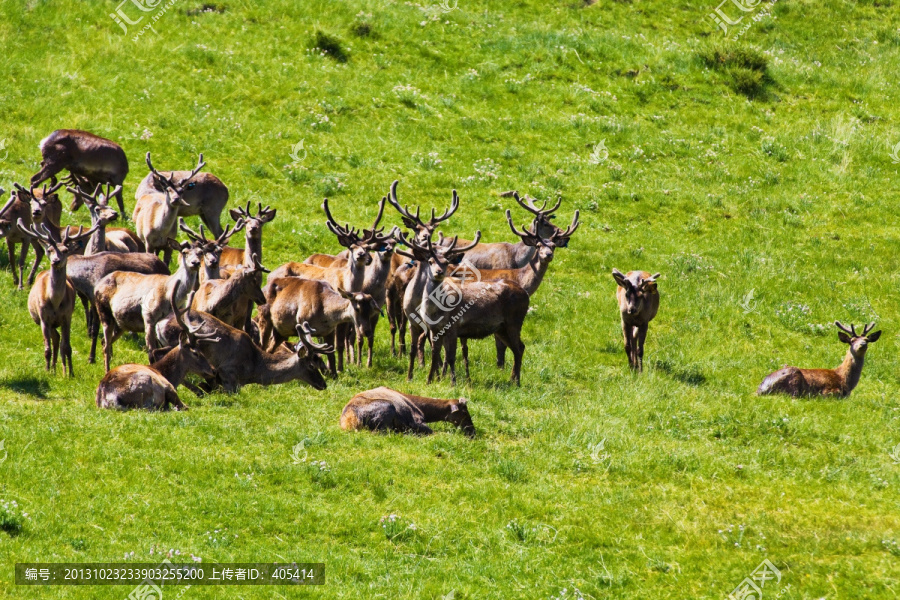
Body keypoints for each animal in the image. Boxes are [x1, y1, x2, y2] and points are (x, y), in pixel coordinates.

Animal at [15, 223, 97, 378]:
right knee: (54, 339)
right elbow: (47, 348)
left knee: (58, 340)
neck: (55, 302)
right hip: (46, 322)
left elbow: (67, 347)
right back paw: (52, 368)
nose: (56, 260)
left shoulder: (67, 317)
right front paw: (46, 370)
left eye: (65, 250)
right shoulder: (43, 318)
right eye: (50, 250)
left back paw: (59, 368)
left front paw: (70, 372)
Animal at [156, 310, 334, 394]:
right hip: (175, 341)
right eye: (311, 365)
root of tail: (160, 323)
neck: (254, 370)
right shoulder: (228, 371)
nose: (323, 384)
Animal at [340, 386, 478, 438]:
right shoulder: (417, 421)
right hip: (387, 408)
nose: (472, 430)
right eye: (464, 412)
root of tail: (349, 422)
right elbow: (432, 431)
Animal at [756, 322, 884, 396]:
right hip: (794, 382)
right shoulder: (829, 391)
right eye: (852, 341)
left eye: (867, 340)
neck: (845, 380)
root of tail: (761, 388)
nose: (862, 344)